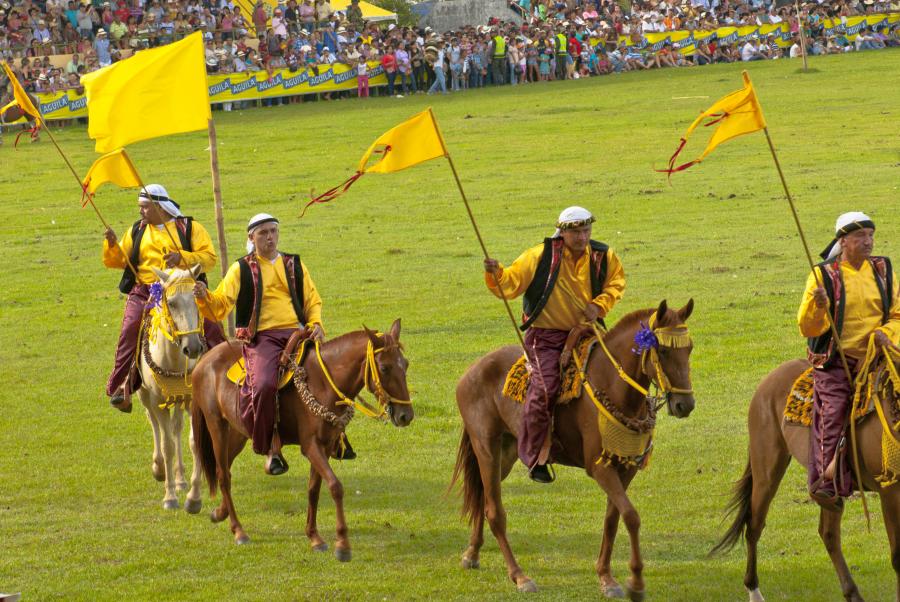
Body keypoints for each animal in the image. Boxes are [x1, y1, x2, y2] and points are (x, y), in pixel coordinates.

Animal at [140, 264, 208, 508]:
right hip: (144, 396)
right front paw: (169, 497)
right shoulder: (156, 400)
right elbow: (167, 444)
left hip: (179, 400)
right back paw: (159, 469)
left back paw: (180, 479)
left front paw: (193, 496)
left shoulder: (192, 400)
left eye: (197, 299)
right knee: (154, 423)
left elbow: (194, 441)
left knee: (176, 427)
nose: (193, 347)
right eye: (172, 302)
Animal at [192, 316, 414, 556]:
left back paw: (220, 512)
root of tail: (204, 361)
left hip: (238, 432)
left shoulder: (325, 446)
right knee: (223, 475)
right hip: (217, 426)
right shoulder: (311, 446)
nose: (406, 415)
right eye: (384, 367)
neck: (323, 383)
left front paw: (314, 536)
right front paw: (342, 544)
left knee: (223, 469)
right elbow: (335, 486)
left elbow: (314, 489)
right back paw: (238, 530)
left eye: (406, 365)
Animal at [450, 300, 696, 596]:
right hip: (486, 445)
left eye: (689, 348)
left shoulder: (624, 469)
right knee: (494, 511)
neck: (613, 386)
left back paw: (472, 554)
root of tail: (472, 370)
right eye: (663, 350)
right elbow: (631, 516)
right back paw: (519, 576)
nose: (685, 404)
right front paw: (635, 581)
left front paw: (606, 576)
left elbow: (613, 519)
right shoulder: (599, 468)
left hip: (506, 453)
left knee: (483, 497)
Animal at [712, 356, 900, 600]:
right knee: (754, 525)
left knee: (828, 534)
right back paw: (754, 591)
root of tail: (767, 382)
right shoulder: (890, 492)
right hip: (767, 471)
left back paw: (852, 593)